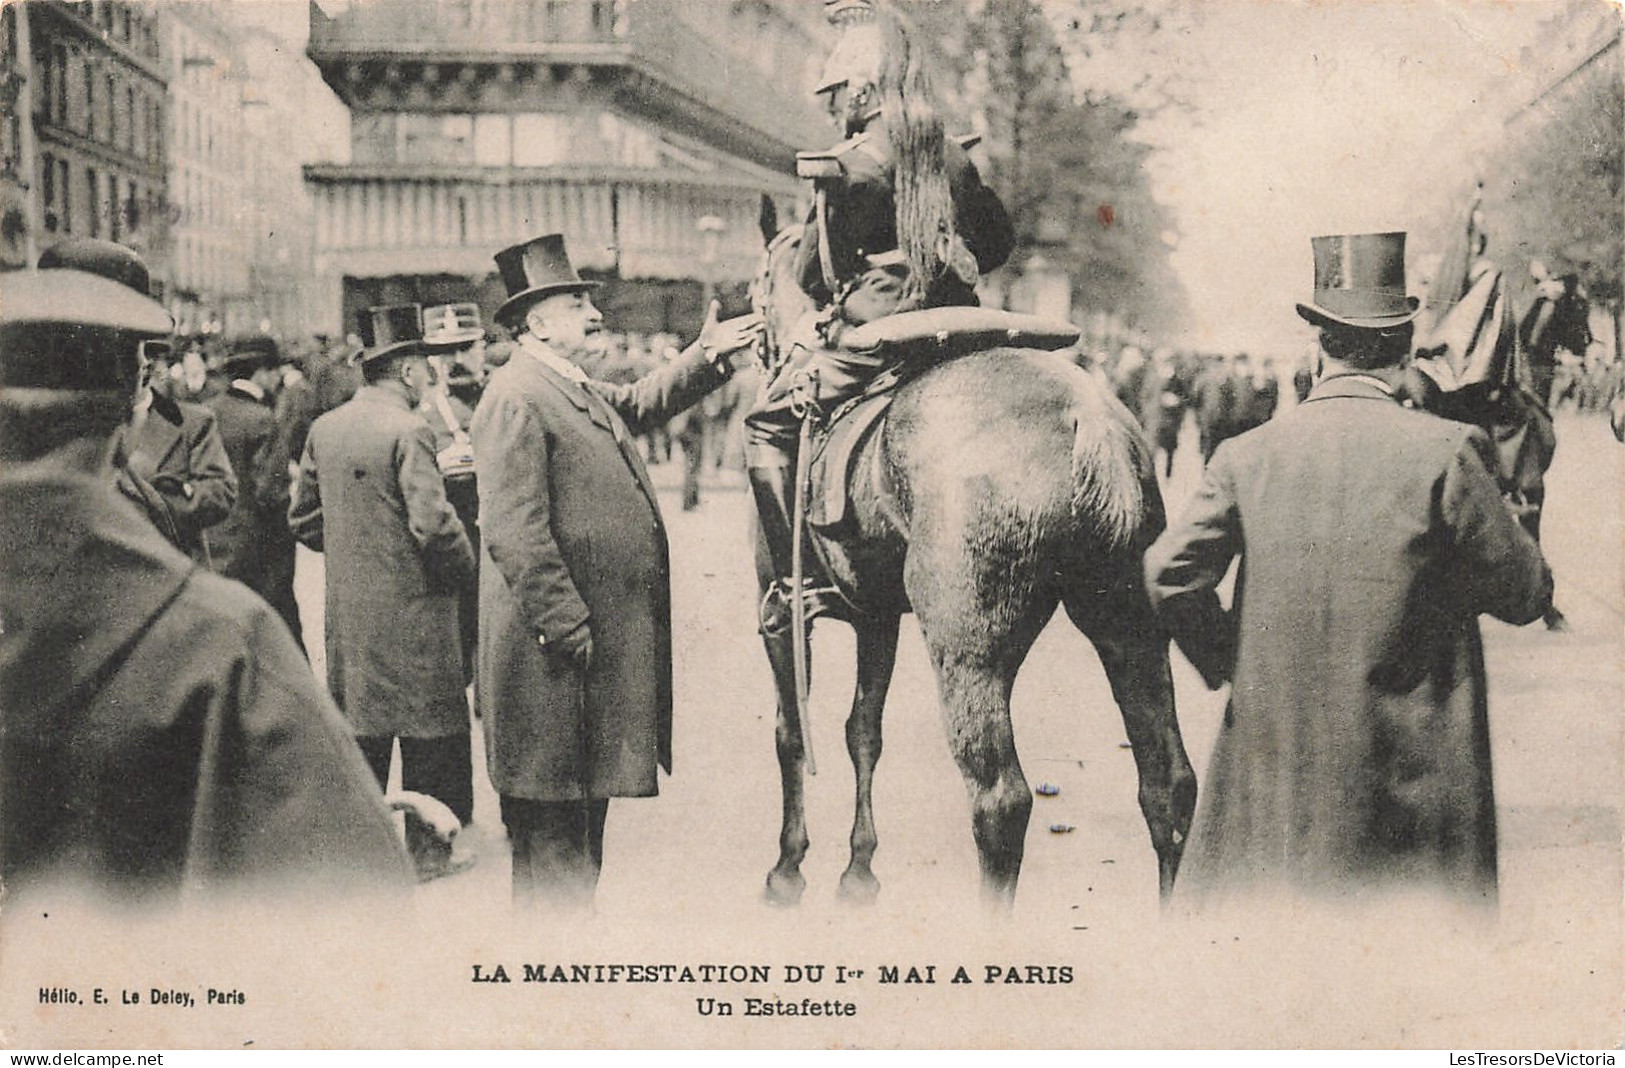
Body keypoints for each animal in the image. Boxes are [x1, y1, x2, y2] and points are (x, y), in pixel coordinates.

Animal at [747, 227, 1196, 910]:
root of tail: (1087, 417)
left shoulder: (782, 617)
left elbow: (791, 732)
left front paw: (788, 867)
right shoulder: (877, 618)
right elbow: (862, 731)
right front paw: (858, 870)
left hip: (968, 655)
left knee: (1000, 803)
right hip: (1128, 631)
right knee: (1167, 784)